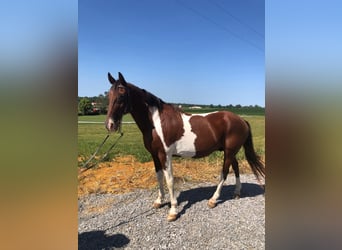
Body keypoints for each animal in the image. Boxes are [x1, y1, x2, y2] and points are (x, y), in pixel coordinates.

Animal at [105, 72, 266, 221]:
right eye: (109, 95)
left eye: (121, 95)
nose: (110, 125)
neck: (155, 123)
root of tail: (241, 120)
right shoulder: (154, 155)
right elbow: (159, 177)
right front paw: (159, 201)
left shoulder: (165, 155)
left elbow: (169, 180)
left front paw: (173, 211)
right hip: (230, 151)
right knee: (236, 167)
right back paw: (237, 192)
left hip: (229, 151)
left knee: (224, 173)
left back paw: (213, 200)